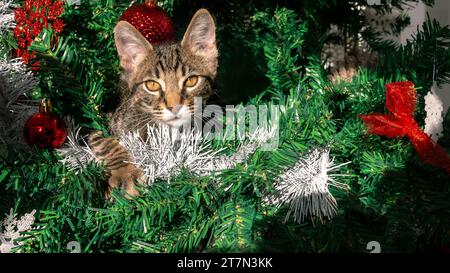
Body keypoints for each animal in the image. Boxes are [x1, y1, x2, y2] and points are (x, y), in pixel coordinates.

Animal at [88, 9, 218, 197]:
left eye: (191, 81)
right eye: (152, 85)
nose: (174, 107)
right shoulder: (99, 123)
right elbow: (106, 141)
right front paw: (125, 174)